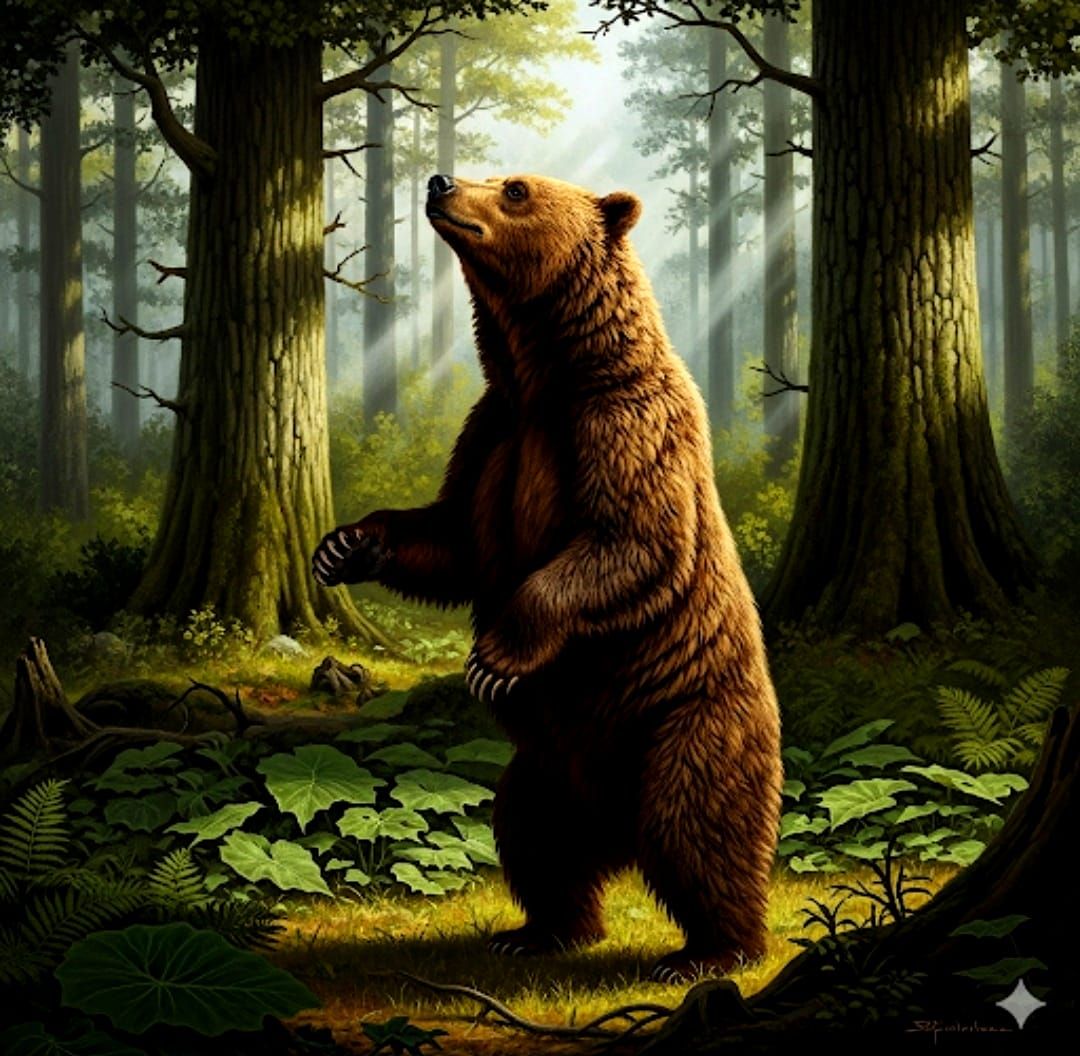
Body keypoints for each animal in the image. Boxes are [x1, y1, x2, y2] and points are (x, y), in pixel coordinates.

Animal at [312, 173, 782, 982]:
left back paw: (710, 951)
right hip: (547, 767)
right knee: (534, 835)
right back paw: (541, 931)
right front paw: (344, 546)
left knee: (697, 827)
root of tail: (617, 835)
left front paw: (492, 661)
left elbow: (628, 542)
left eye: (515, 187)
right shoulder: (497, 432)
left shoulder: (625, 425)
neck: (548, 375)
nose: (439, 182)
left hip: (687, 723)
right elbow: (455, 539)